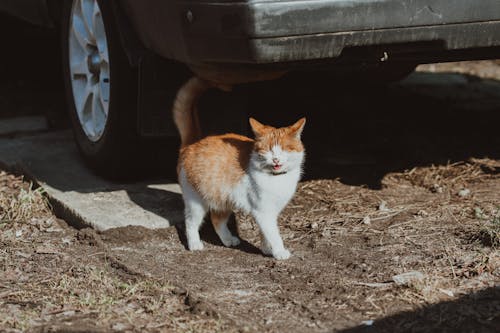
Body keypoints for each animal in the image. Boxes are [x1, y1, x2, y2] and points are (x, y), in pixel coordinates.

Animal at [172, 77, 304, 260]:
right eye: (268, 150)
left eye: (284, 149)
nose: (276, 159)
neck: (276, 178)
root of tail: (191, 145)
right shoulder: (263, 212)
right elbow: (273, 234)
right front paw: (279, 251)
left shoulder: (271, 212)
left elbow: (265, 234)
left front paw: (267, 249)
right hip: (196, 202)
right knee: (191, 222)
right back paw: (194, 244)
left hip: (223, 200)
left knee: (216, 220)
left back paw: (228, 240)